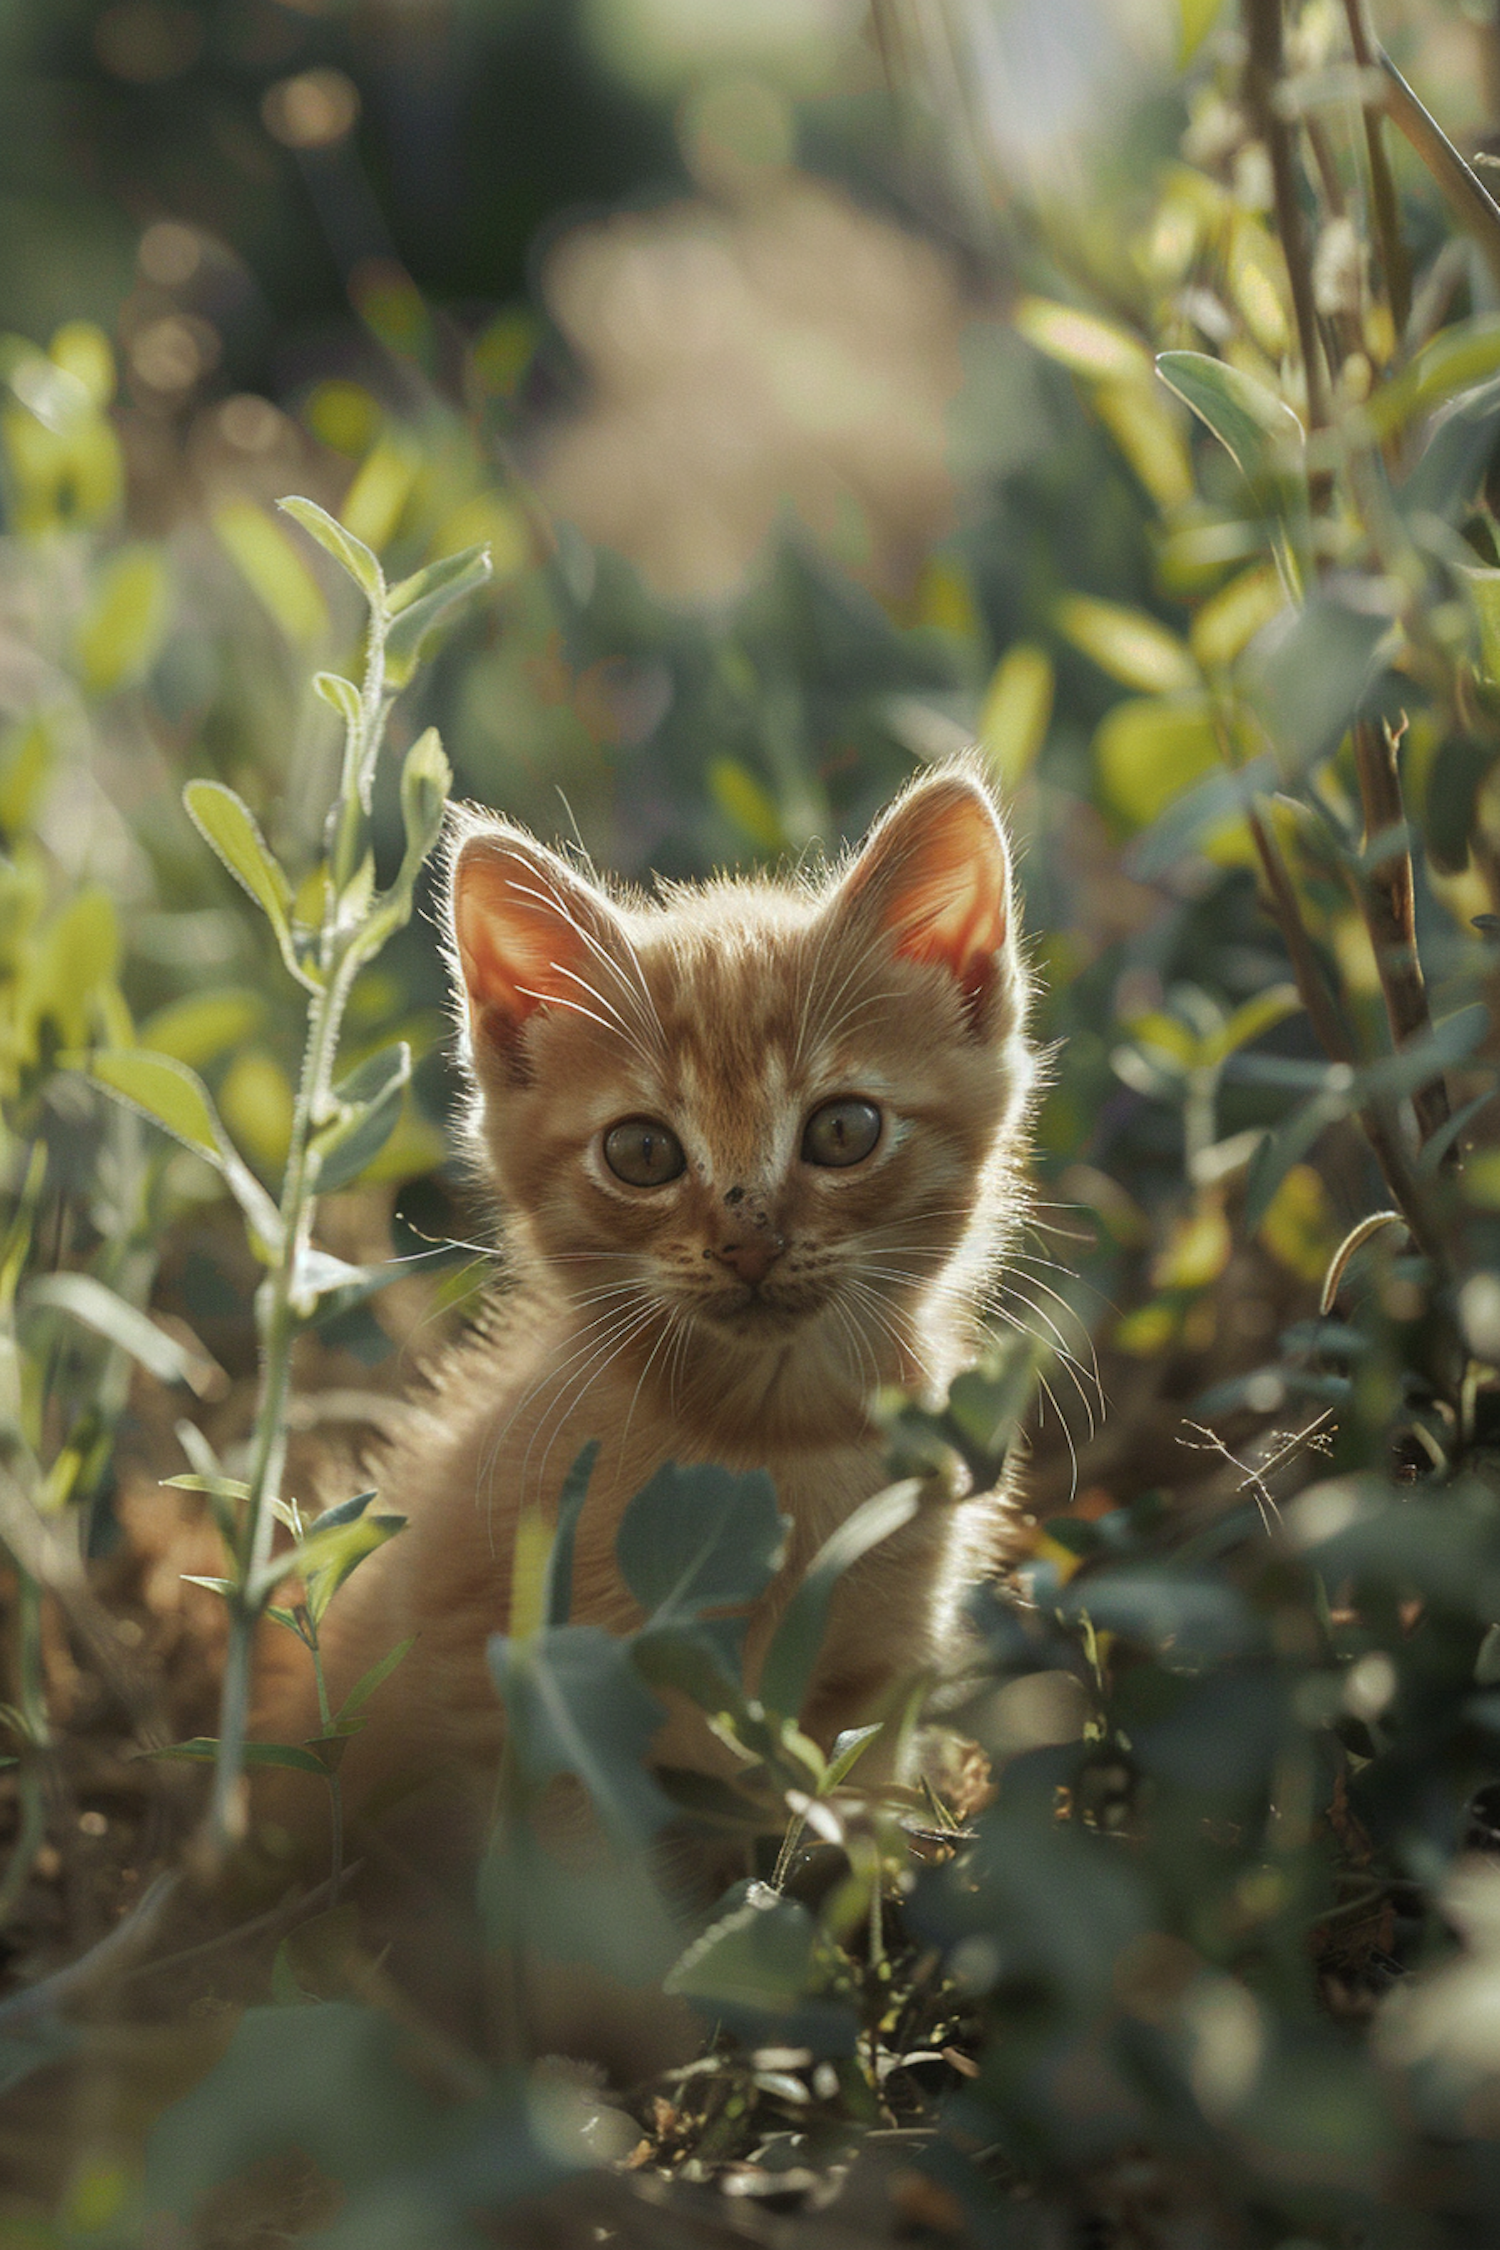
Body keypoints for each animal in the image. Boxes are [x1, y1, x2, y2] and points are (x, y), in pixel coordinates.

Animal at [251, 765, 1038, 1836]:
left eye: (844, 1130)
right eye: (642, 1152)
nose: (750, 1243)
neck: (769, 1442)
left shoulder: (874, 1685)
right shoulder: (521, 1695)